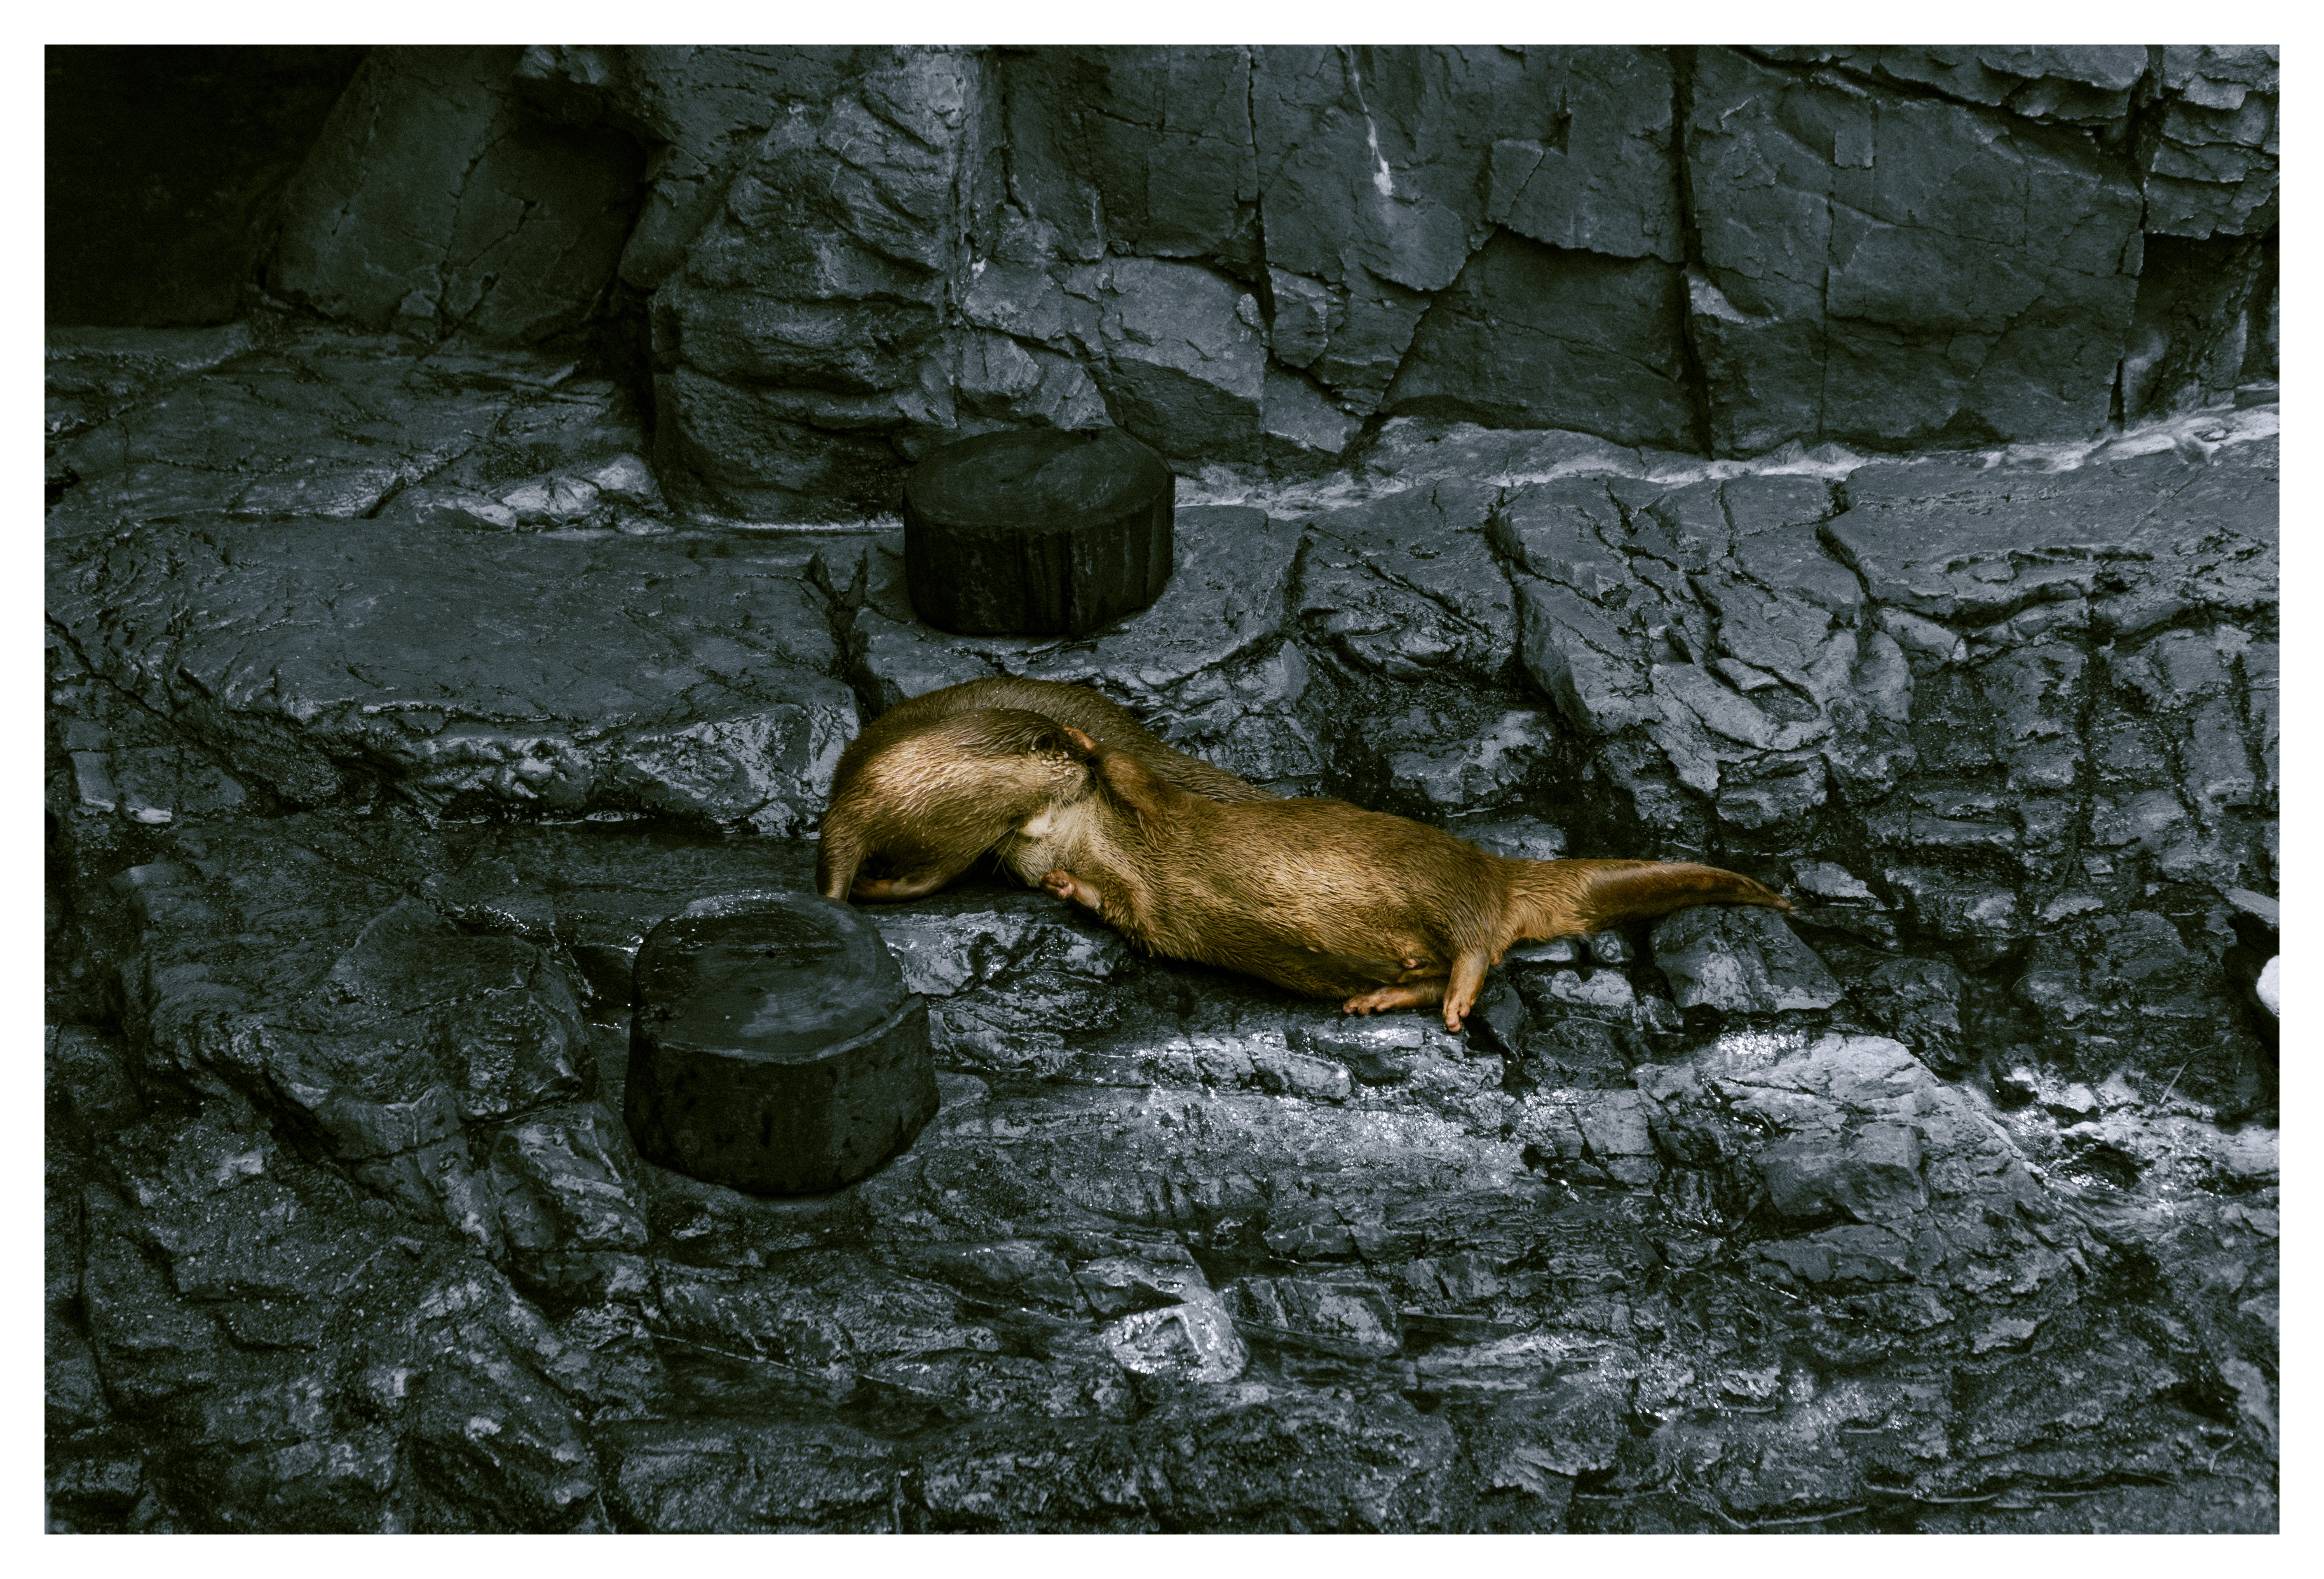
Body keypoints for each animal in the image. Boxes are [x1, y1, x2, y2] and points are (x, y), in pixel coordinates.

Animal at [816, 676, 1268, 903]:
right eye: (1077, 760)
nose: (1091, 771)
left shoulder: (957, 853)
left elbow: (921, 886)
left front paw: (868, 888)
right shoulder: (857, 802)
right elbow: (835, 854)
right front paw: (841, 898)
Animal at [1000, 742, 1793, 1033]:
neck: (1127, 853)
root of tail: (1495, 869)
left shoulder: (1161, 811)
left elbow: (1126, 770)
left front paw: (1084, 740)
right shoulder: (1140, 905)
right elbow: (1109, 905)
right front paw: (1065, 884)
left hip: (1442, 882)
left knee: (1476, 946)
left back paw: (1453, 1004)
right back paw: (1383, 997)